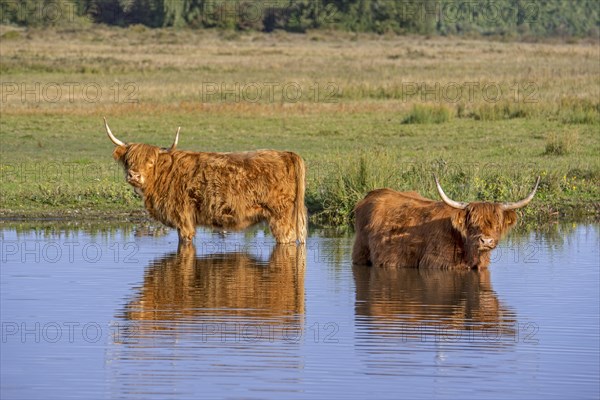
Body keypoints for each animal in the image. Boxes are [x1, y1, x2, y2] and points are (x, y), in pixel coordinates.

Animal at [105, 117, 308, 244]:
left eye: (150, 162)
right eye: (129, 160)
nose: (134, 175)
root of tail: (286, 154)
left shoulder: (183, 220)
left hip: (281, 217)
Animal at [354, 177, 540, 268]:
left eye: (497, 224)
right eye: (472, 224)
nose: (486, 241)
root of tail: (372, 194)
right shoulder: (435, 264)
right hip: (361, 254)